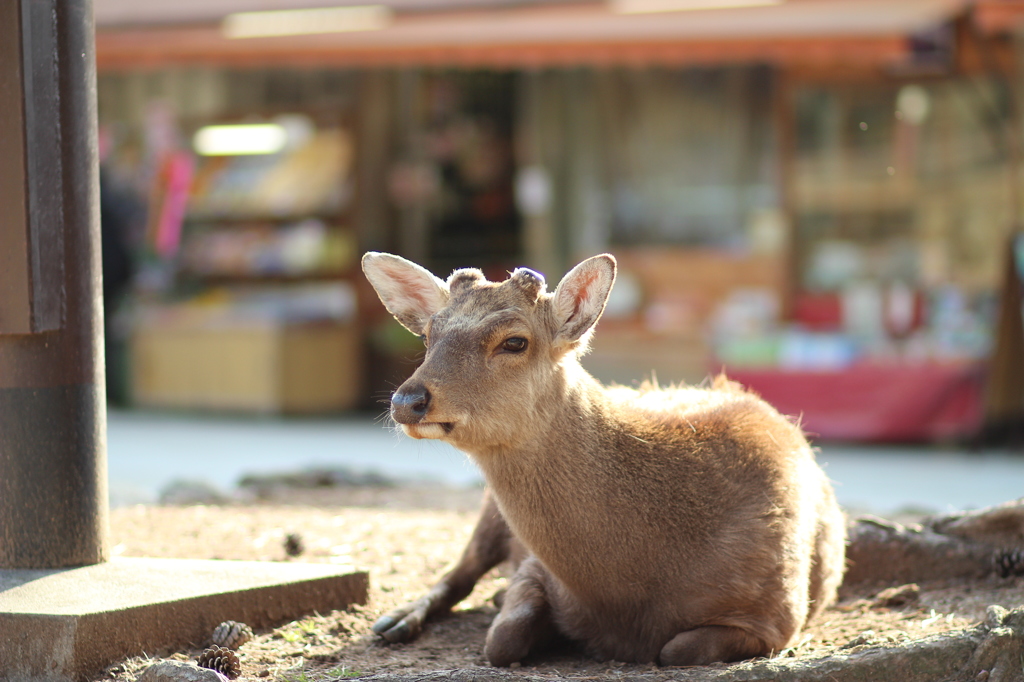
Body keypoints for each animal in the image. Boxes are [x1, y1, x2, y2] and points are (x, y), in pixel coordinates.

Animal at [364, 249, 843, 663]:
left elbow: (676, 650)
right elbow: (502, 639)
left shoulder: (778, 611)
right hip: (488, 511)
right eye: (429, 335)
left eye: (515, 342)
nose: (407, 399)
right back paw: (394, 621)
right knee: (462, 569)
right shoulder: (534, 566)